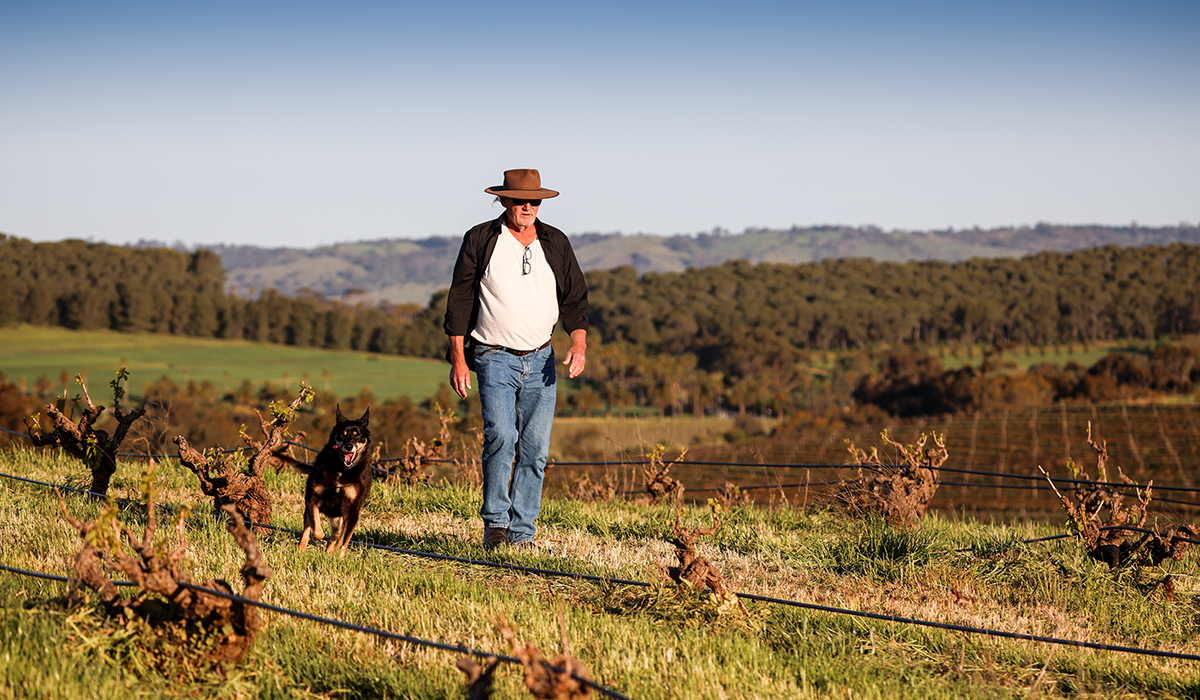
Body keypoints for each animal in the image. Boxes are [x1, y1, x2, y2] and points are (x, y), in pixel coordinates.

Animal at [298, 405, 372, 559]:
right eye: (342, 435)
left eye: (357, 435)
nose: (349, 446)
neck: (341, 469)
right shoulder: (312, 498)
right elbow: (317, 530)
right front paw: (318, 537)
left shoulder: (351, 509)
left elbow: (341, 537)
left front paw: (335, 552)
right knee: (308, 530)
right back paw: (302, 549)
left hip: (346, 516)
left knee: (341, 537)